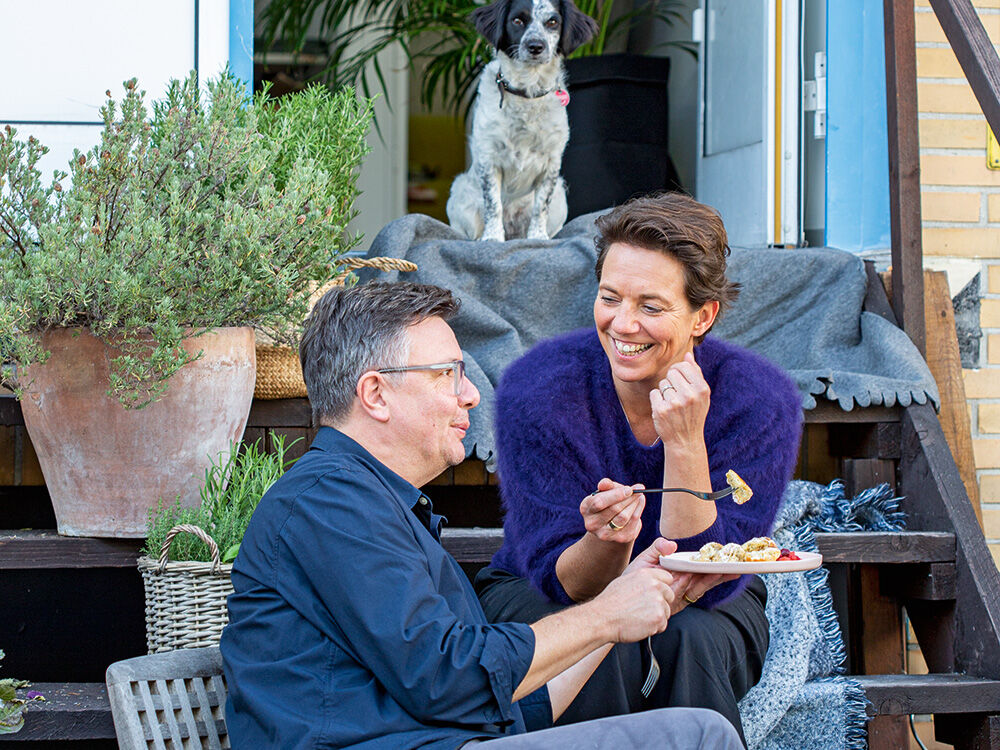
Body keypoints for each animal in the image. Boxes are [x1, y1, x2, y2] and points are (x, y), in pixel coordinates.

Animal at [444, 0, 592, 242]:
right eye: (517, 20)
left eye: (553, 22)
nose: (535, 46)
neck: (527, 92)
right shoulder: (489, 158)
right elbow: (493, 204)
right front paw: (493, 238)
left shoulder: (551, 164)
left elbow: (541, 206)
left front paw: (538, 237)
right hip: (460, 191)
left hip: (561, 195)